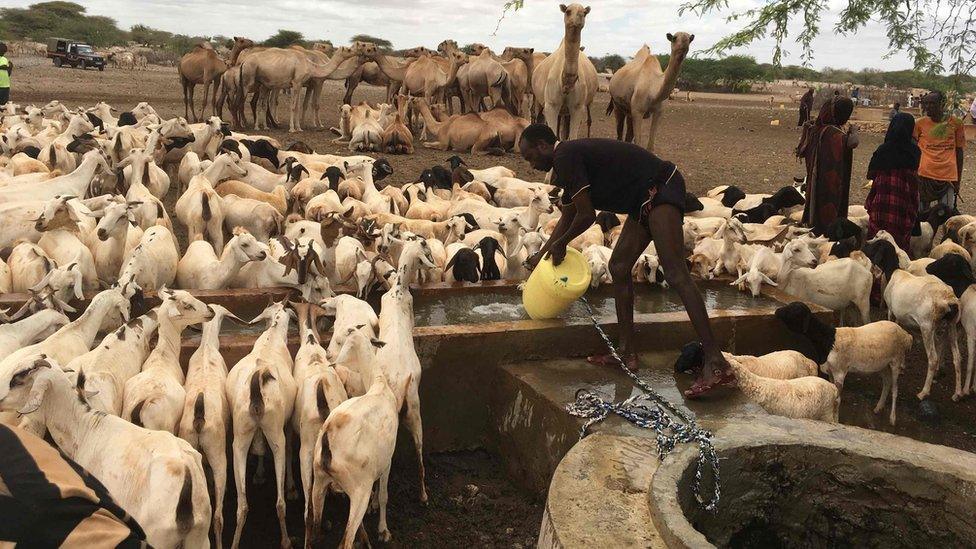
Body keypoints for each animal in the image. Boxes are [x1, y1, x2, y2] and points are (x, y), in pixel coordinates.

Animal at [226, 300, 298, 548]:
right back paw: (286, 540)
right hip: (276, 432)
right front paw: (291, 486)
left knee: (242, 506)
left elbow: (258, 449)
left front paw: (258, 474)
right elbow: (289, 450)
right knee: (279, 503)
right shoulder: (286, 422)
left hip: (240, 435)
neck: (271, 339)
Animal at [528, 3, 600, 140]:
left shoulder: (577, 108)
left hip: (586, 103)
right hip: (539, 99)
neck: (565, 82)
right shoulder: (551, 105)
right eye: (568, 11)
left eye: (584, 12)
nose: (579, 18)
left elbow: (571, 136)